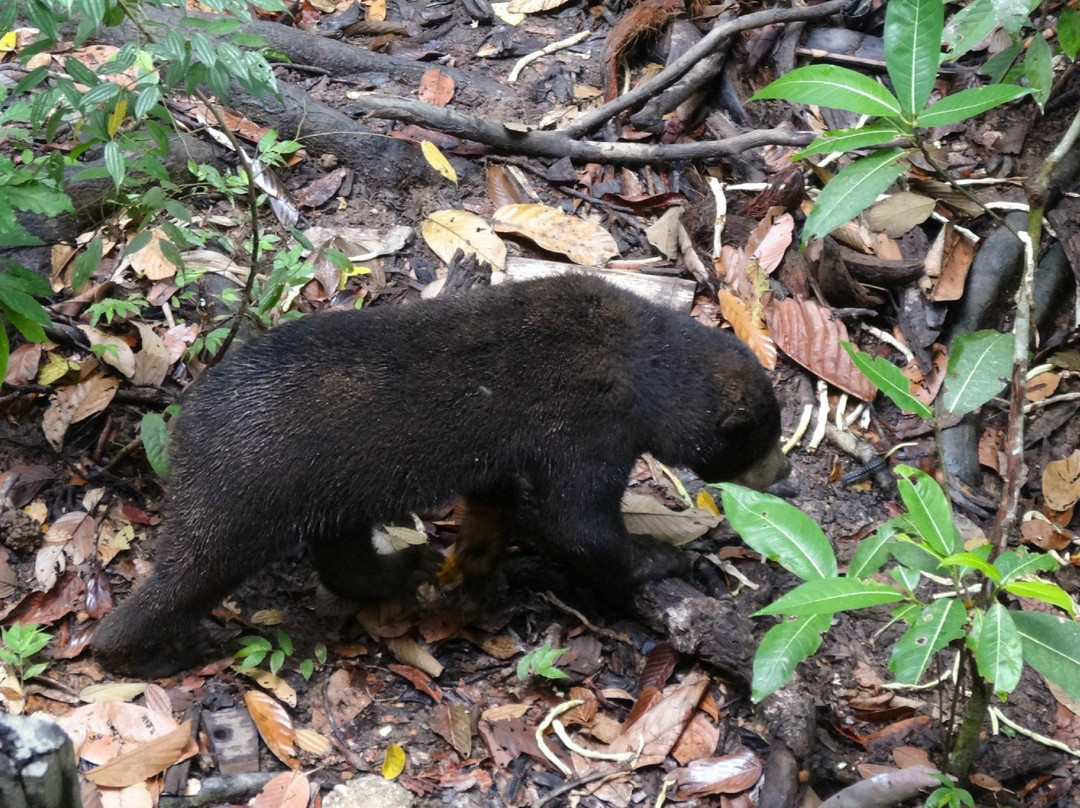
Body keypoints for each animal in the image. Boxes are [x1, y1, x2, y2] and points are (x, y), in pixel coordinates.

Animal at [91, 273, 788, 676]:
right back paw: (136, 649)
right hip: (257, 486)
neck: (642, 356)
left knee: (338, 553)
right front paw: (665, 559)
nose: (784, 476)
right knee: (195, 569)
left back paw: (405, 567)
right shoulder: (592, 419)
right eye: (764, 436)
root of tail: (188, 434)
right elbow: (579, 523)